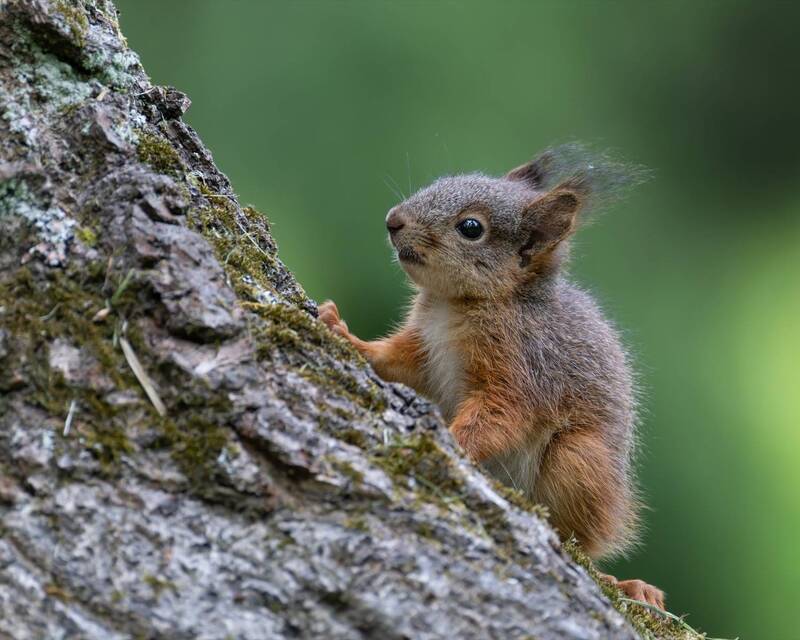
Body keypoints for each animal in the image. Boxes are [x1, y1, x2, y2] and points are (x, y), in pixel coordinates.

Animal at [319, 144, 664, 609]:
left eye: (471, 228)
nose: (393, 220)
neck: (455, 305)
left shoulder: (523, 369)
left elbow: (500, 416)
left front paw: (450, 442)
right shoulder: (423, 350)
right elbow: (393, 360)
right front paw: (342, 332)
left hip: (579, 459)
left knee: (583, 543)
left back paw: (618, 580)